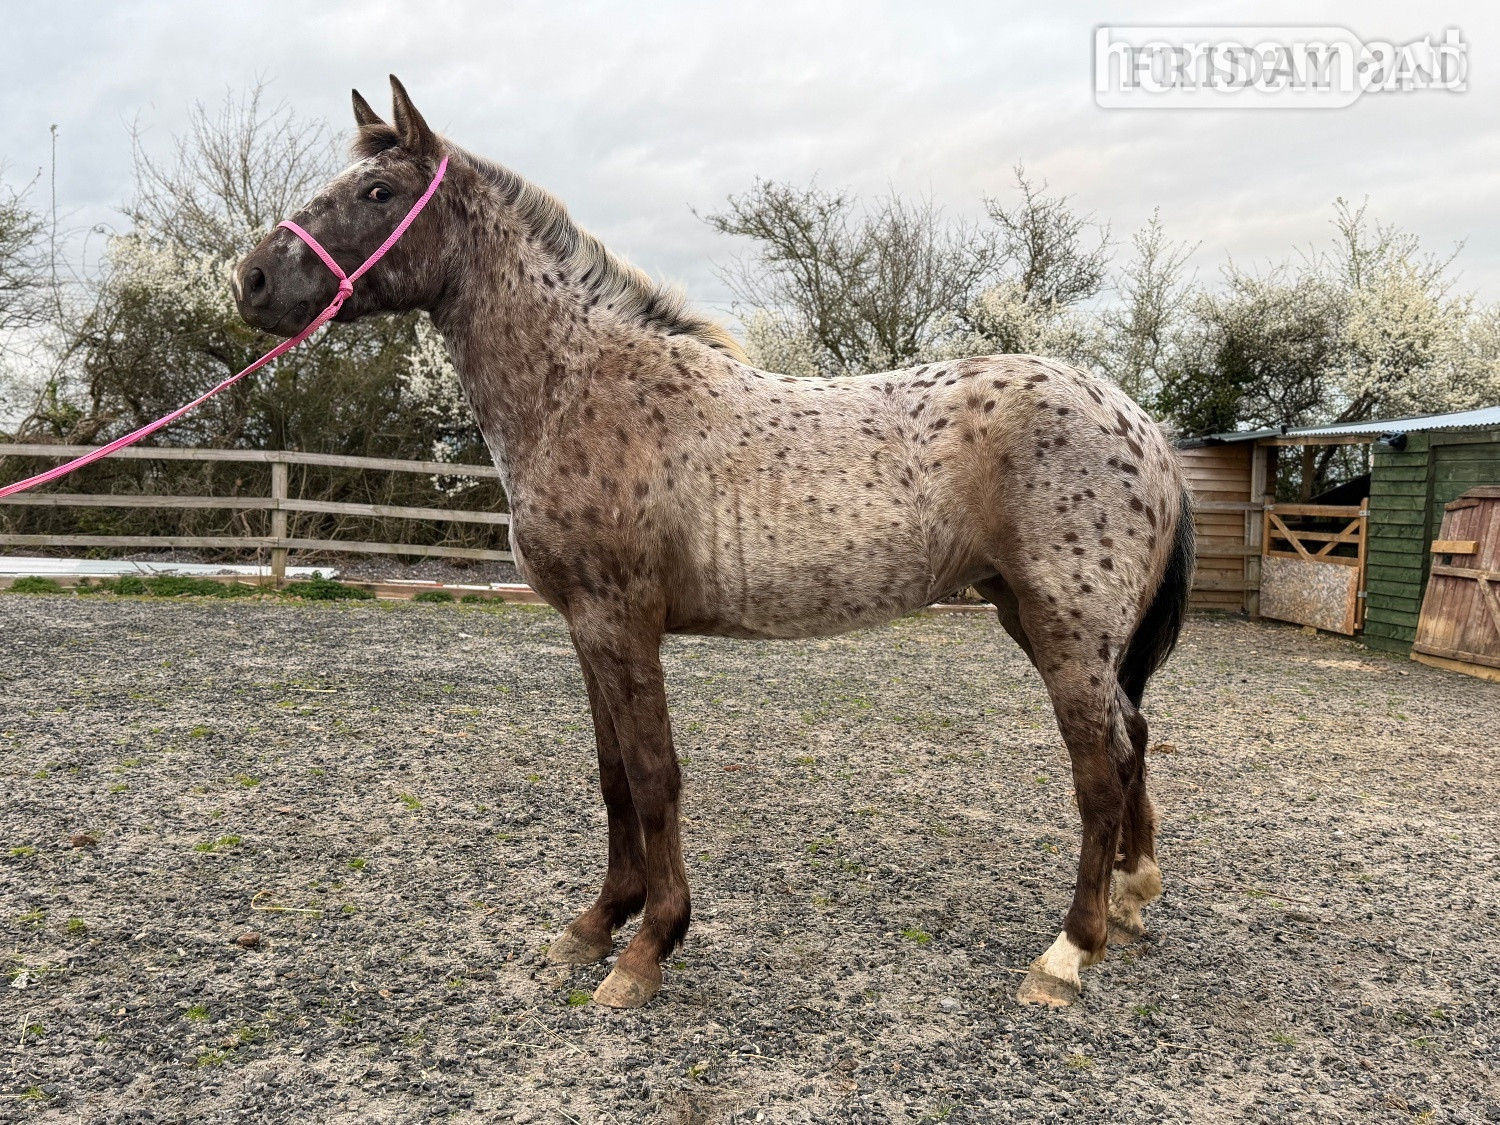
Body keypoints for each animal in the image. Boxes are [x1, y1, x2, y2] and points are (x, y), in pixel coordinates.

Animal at [233, 77, 1195, 1010]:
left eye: (378, 191)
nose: (251, 279)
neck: (582, 386)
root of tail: (1142, 426)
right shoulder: (586, 629)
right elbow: (613, 775)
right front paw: (594, 924)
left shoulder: (622, 622)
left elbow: (656, 776)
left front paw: (647, 948)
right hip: (1032, 619)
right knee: (1136, 736)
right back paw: (1131, 898)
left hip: (1066, 631)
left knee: (1101, 769)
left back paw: (1068, 952)